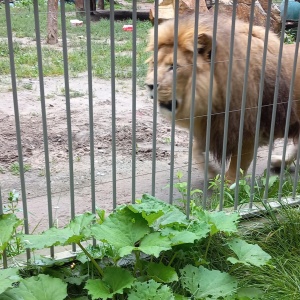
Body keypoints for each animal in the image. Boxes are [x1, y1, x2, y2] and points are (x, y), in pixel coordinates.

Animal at [145, 13, 300, 180]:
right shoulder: (211, 126)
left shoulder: (247, 132)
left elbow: (235, 169)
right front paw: (212, 173)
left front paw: (226, 184)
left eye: (174, 67)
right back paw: (280, 162)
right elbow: (195, 150)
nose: (149, 85)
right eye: (154, 63)